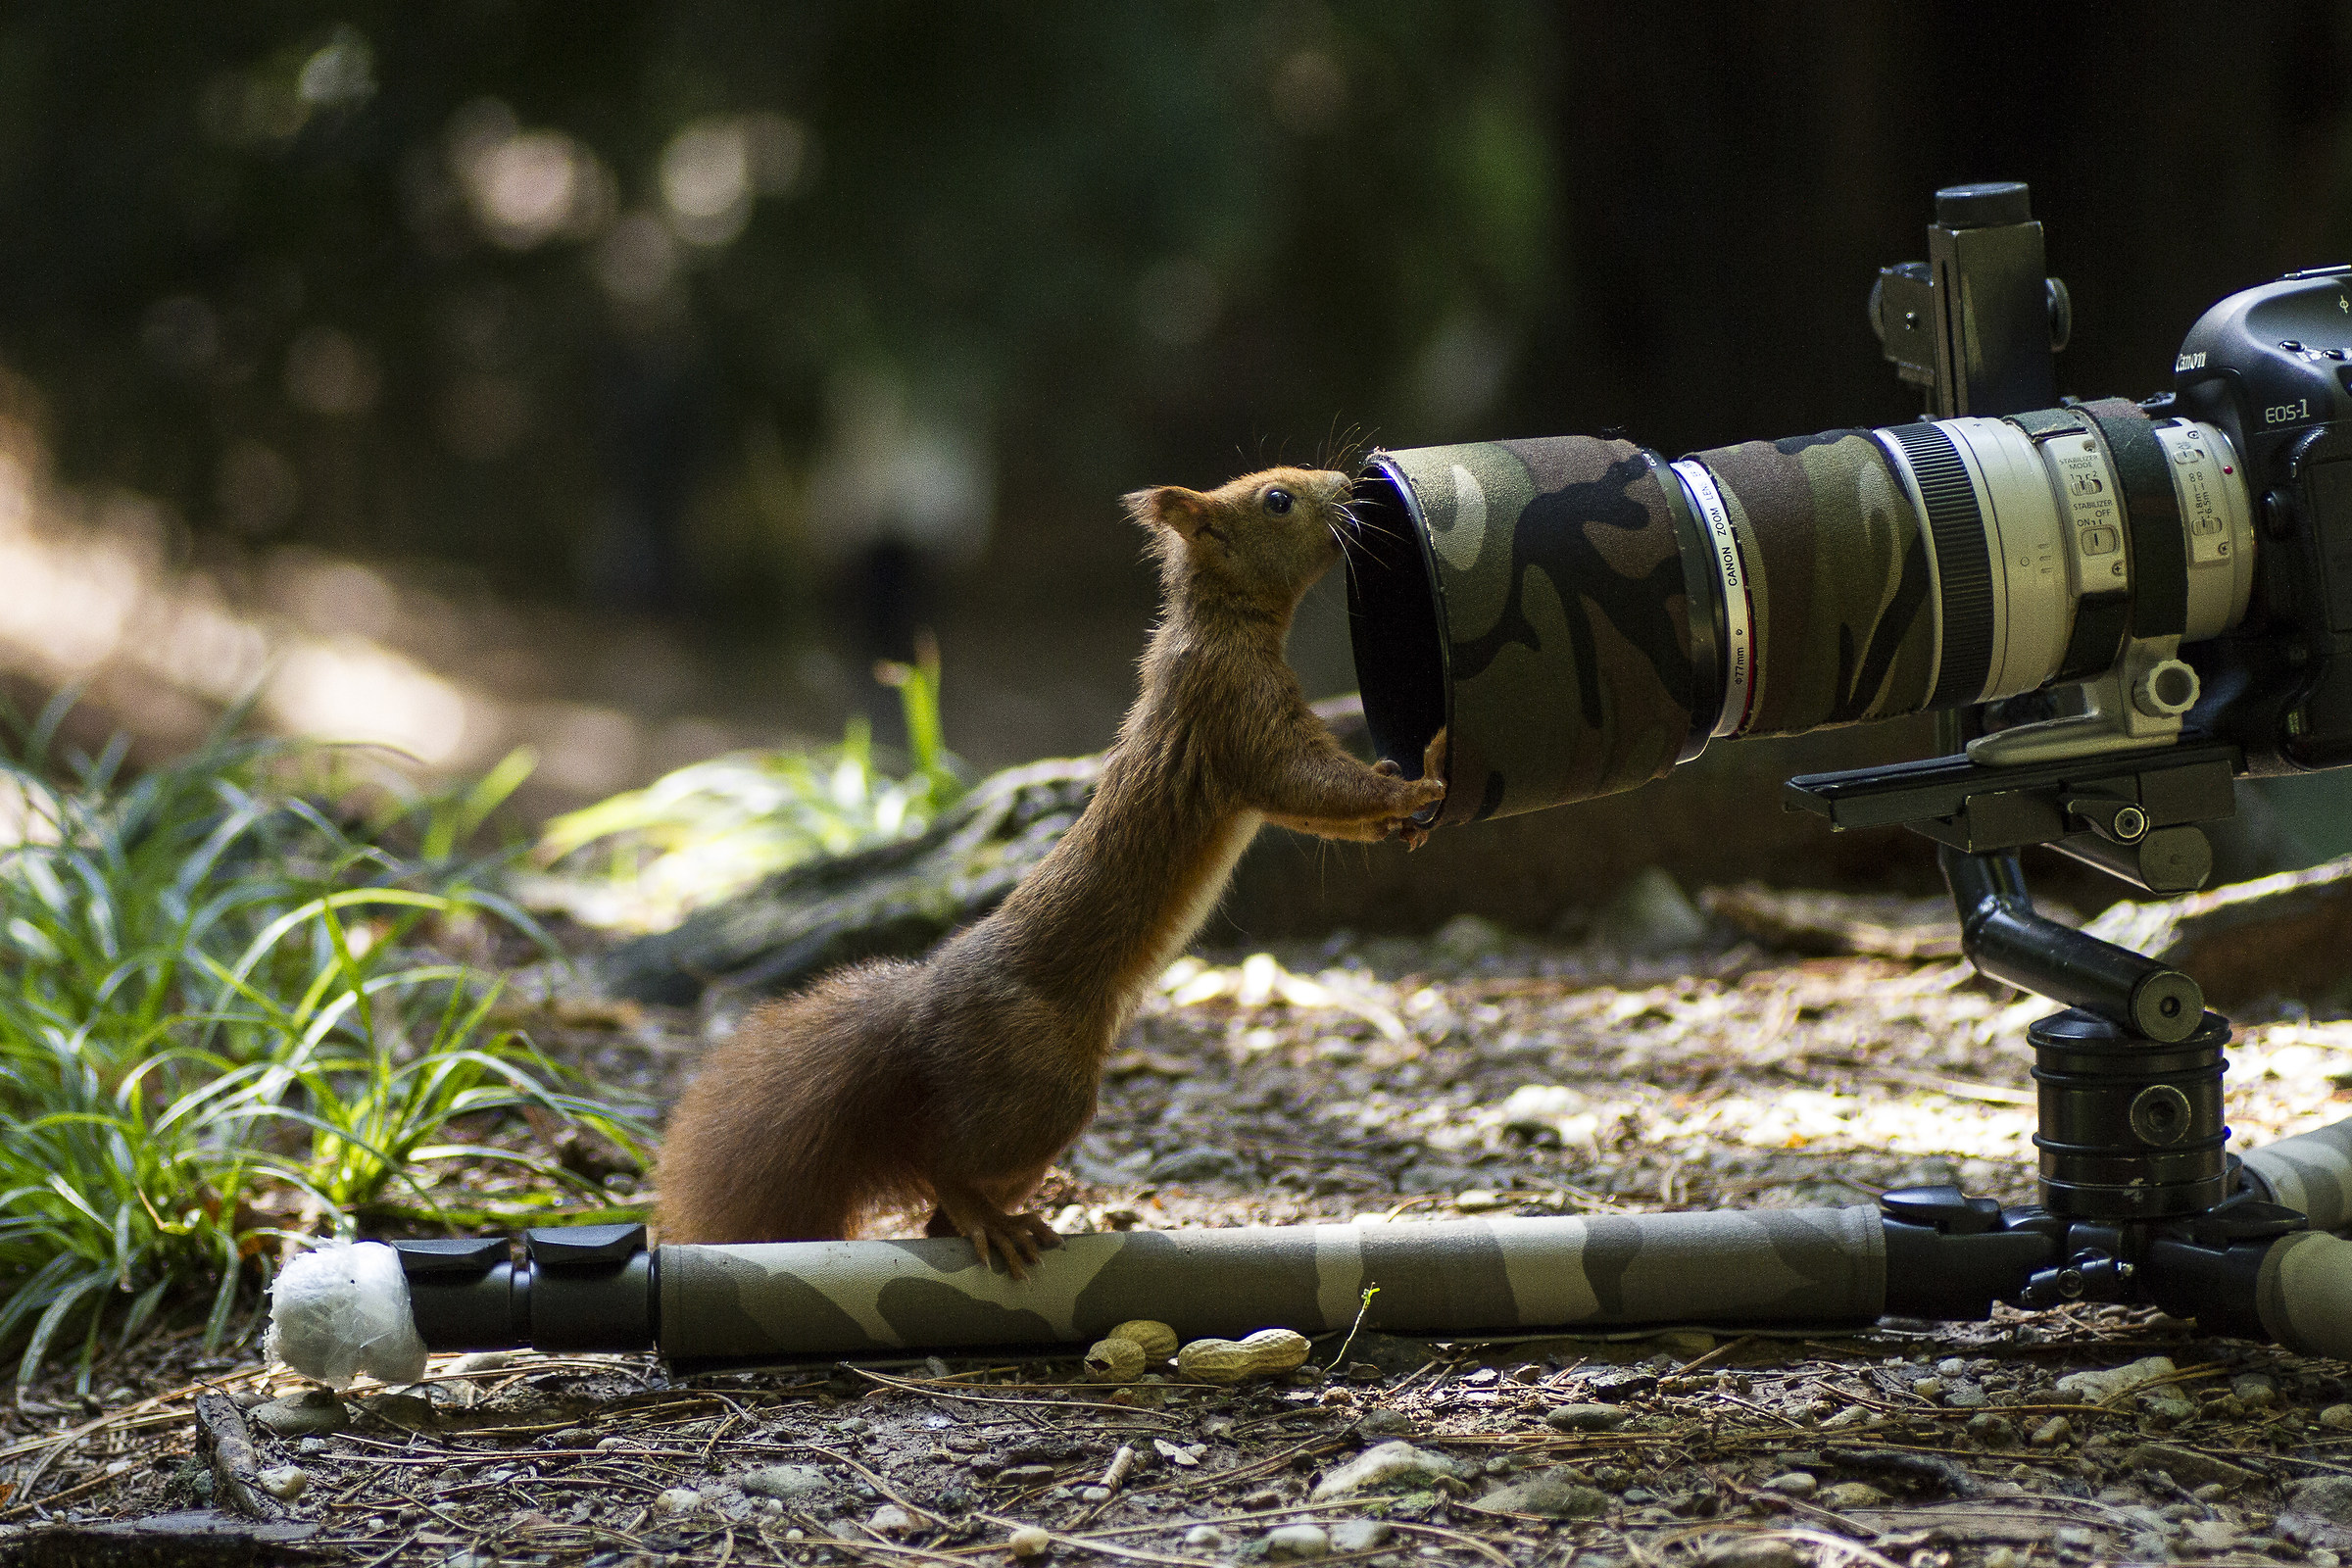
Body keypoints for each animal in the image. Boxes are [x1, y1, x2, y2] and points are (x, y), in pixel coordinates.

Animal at [654, 467, 1446, 1273]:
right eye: (1277, 500)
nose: (1350, 484)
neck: (1223, 624)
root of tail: (920, 1016)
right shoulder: (1238, 712)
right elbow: (1306, 784)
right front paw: (1414, 786)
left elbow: (1323, 810)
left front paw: (1398, 804)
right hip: (1042, 1087)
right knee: (946, 1165)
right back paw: (991, 1220)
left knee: (941, 1212)